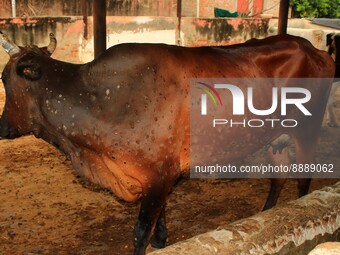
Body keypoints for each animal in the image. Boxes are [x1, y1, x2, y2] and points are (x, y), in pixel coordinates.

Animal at [0, 32, 334, 255]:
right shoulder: (158, 174)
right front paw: (162, 239)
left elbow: (140, 232)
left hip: (308, 127)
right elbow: (159, 215)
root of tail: (312, 47)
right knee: (279, 174)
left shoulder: (159, 173)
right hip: (272, 137)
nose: (3, 127)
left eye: (3, 78)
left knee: (303, 177)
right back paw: (267, 214)